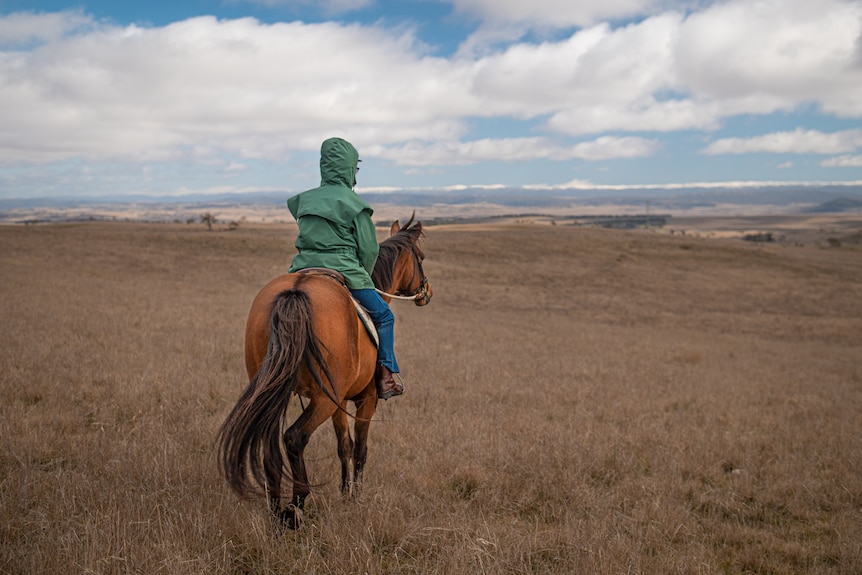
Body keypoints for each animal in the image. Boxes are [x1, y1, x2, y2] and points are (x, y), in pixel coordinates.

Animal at [216, 216, 432, 532]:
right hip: (322, 399)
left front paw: (344, 493)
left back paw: (275, 512)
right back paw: (295, 508)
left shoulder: (339, 403)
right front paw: (356, 497)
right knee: (294, 437)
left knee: (270, 447)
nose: (426, 292)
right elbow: (360, 448)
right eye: (421, 258)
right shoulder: (366, 400)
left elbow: (344, 445)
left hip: (283, 392)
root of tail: (296, 290)